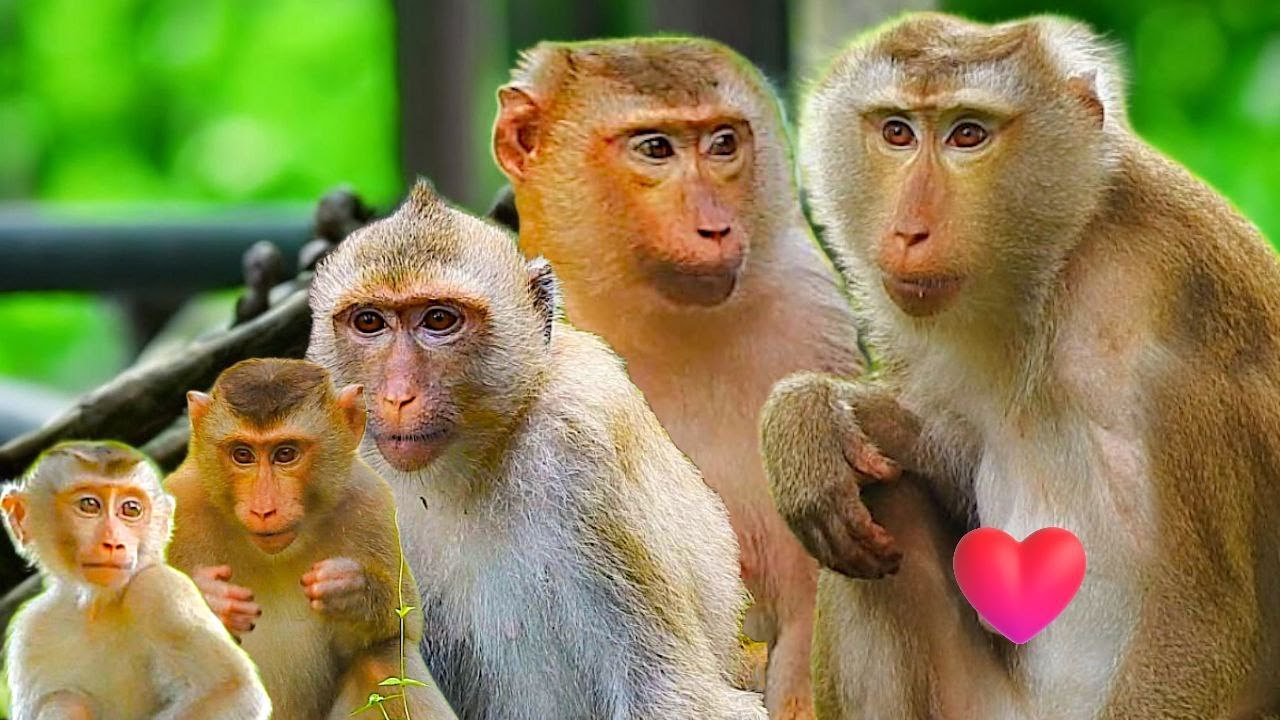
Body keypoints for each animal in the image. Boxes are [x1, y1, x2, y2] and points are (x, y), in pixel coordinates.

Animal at [1, 440, 271, 720]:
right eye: (89, 505)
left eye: (131, 509)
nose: (113, 543)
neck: (98, 606)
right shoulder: (32, 630)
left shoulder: (160, 589)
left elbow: (231, 689)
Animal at [163, 358, 456, 720]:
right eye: (242, 454)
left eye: (286, 453)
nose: (264, 509)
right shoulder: (180, 501)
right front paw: (210, 599)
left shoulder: (370, 502)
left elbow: (405, 627)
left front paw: (354, 594)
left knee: (382, 659)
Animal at [306, 180, 767, 720]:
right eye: (369, 322)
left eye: (439, 319)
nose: (398, 396)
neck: (460, 479)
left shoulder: (582, 438)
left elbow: (671, 694)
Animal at [761, 12, 1280, 719]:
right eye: (897, 131)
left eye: (968, 134)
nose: (909, 231)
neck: (1059, 265)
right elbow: (948, 456)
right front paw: (806, 421)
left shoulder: (1183, 324)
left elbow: (1199, 620)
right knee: (881, 493)